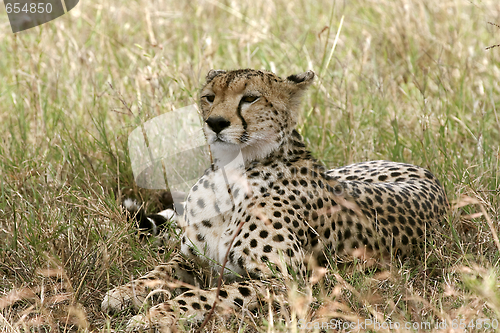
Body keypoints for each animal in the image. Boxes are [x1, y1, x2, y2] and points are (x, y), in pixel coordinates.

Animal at [102, 68, 450, 330]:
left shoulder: (287, 283)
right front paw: (124, 292)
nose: (215, 123)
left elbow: (208, 296)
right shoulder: (194, 259)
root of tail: (426, 172)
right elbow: (159, 270)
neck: (231, 171)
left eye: (250, 98)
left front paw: (153, 316)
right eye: (209, 97)